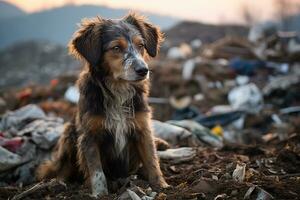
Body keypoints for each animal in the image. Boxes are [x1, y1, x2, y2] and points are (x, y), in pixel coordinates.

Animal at [35, 13, 169, 198]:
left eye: (140, 45)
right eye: (116, 48)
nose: (143, 70)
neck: (117, 90)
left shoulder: (142, 128)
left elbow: (151, 159)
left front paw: (161, 185)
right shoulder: (89, 136)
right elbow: (96, 171)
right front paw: (100, 193)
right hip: (69, 134)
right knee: (63, 168)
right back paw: (60, 183)